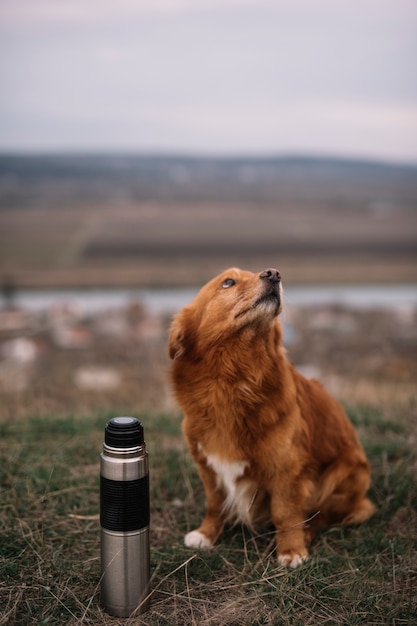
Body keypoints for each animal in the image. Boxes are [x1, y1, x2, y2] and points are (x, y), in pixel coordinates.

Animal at [167, 268, 376, 564]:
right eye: (228, 282)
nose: (273, 273)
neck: (233, 381)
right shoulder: (207, 465)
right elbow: (215, 504)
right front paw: (206, 534)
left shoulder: (285, 467)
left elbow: (285, 512)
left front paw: (291, 550)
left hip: (341, 474)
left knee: (331, 513)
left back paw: (307, 533)